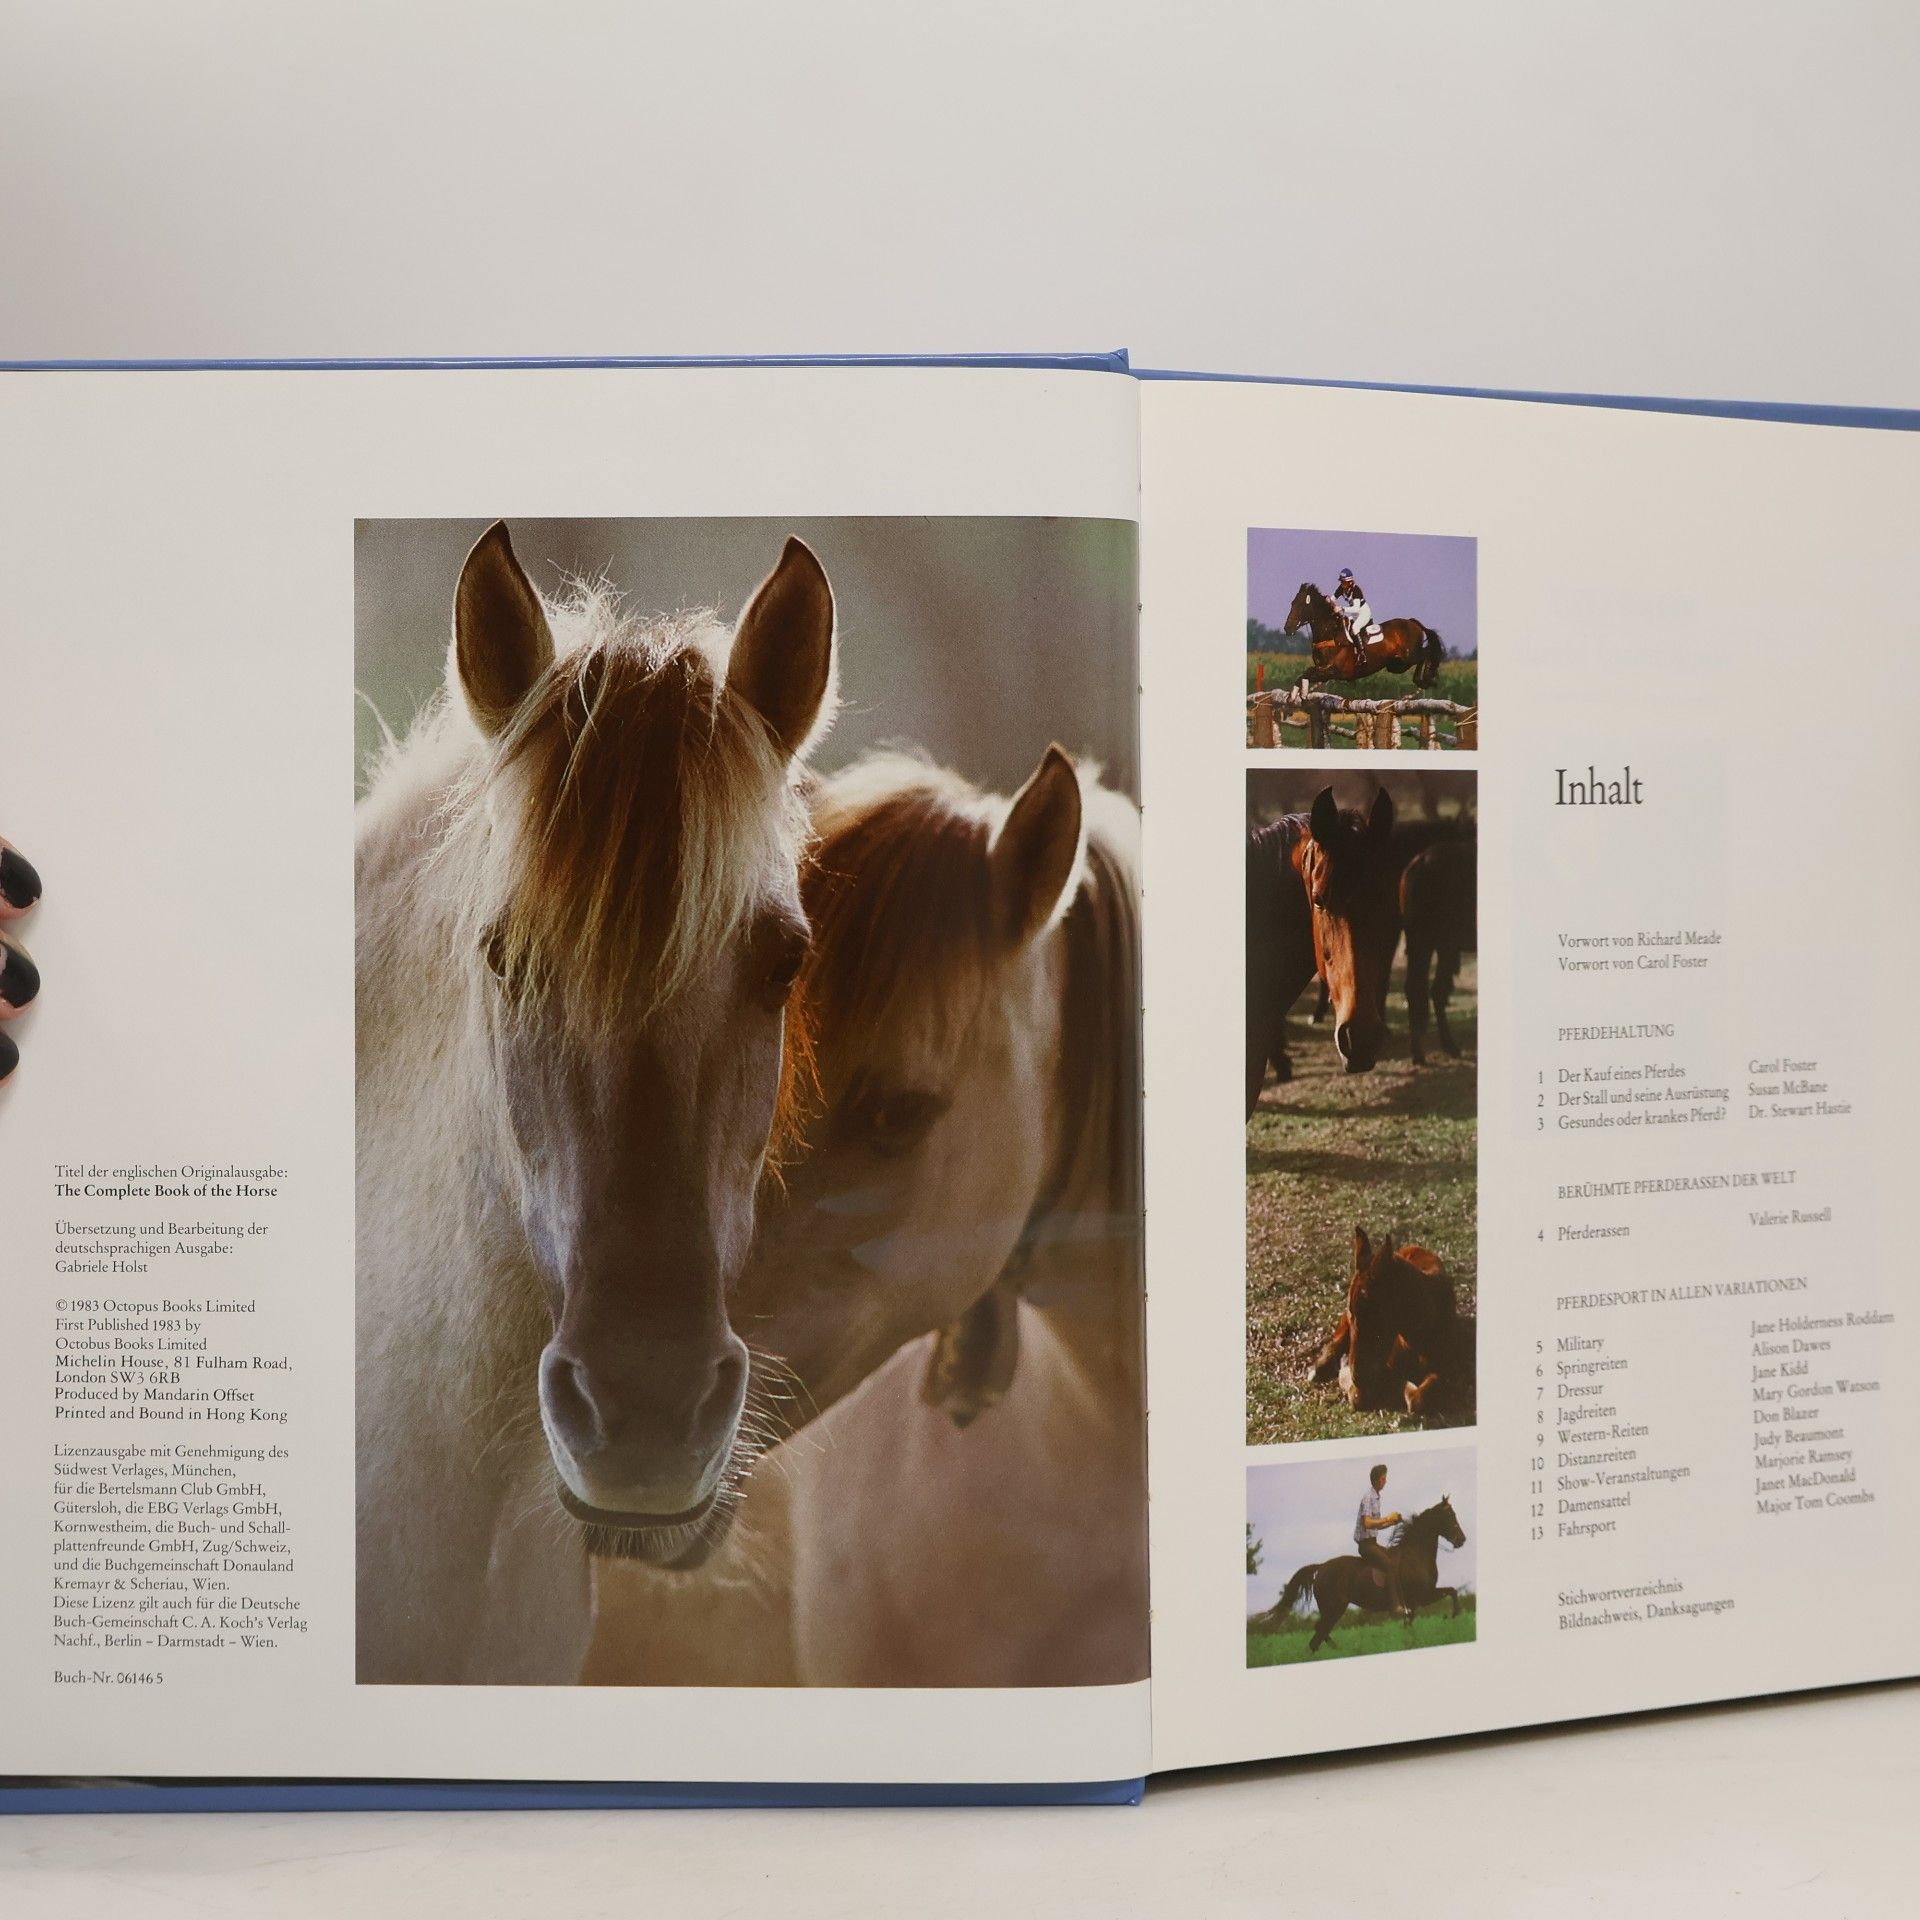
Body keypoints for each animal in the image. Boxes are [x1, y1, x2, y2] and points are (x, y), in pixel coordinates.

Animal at [1258, 1498, 1467, 1654]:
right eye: (1449, 1515)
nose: (1461, 1540)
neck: (1415, 1555)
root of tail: (1321, 1567)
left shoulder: (1419, 1600)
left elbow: (1448, 1594)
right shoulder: (1421, 1596)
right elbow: (1451, 1592)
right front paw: (1453, 1615)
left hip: (1330, 1610)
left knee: (1319, 1633)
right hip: (1335, 1608)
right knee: (1317, 1636)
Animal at [1283, 581, 1445, 688]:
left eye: (1301, 605)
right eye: (1292, 603)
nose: (1287, 629)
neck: (1329, 633)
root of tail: (1412, 622)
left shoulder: (1332, 670)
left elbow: (1306, 674)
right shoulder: (1323, 672)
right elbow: (1304, 676)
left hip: (1408, 656)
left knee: (1426, 653)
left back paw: (1426, 679)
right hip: (1396, 664)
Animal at [1309, 1227, 1472, 1422]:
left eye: (1375, 1312)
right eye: (1352, 1312)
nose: (1358, 1377)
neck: (1416, 1333)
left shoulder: (1447, 1366)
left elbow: (1419, 1399)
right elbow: (1360, 1394)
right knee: (1336, 1339)